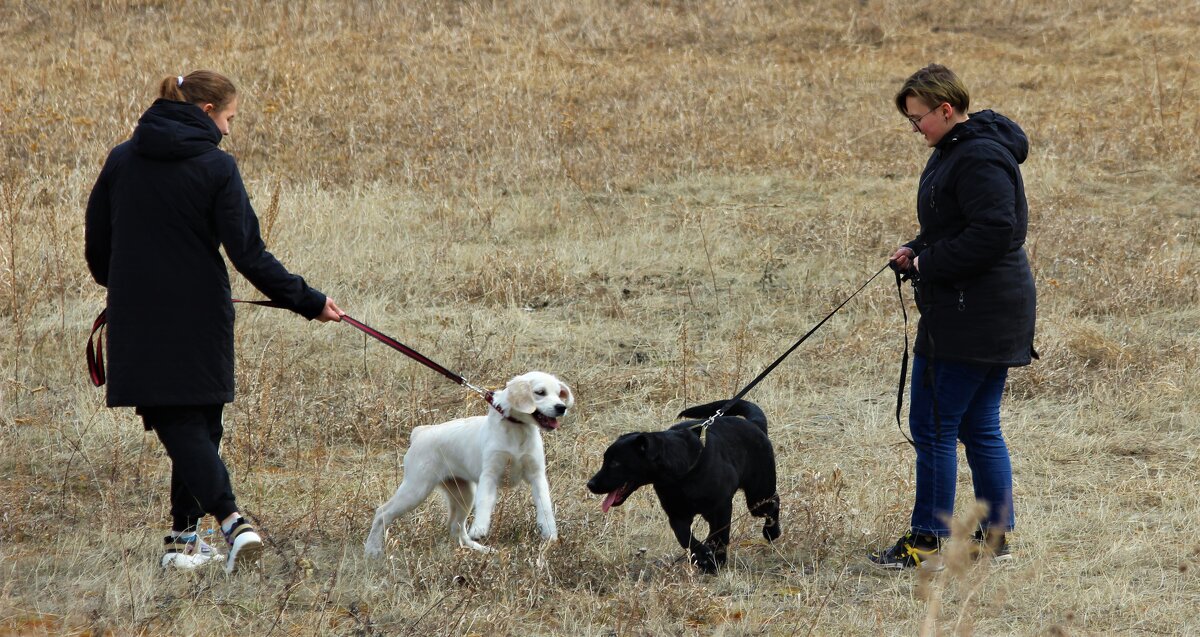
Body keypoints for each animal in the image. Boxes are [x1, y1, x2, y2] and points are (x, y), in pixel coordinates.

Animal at [362, 371, 573, 556]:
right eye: (540, 392)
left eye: (558, 394)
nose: (561, 407)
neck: (516, 430)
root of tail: (421, 433)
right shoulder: (489, 475)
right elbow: (485, 503)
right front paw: (480, 528)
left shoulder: (537, 476)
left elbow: (545, 507)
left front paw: (550, 534)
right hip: (416, 489)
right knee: (382, 513)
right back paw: (372, 550)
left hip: (463, 494)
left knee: (456, 528)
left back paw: (479, 549)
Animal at [585, 398, 782, 573]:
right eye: (605, 460)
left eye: (615, 463)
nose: (590, 484)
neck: (679, 478)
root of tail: (755, 424)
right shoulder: (677, 514)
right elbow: (685, 537)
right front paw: (703, 557)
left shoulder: (722, 507)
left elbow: (719, 536)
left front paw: (715, 560)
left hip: (758, 497)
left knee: (774, 503)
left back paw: (772, 532)